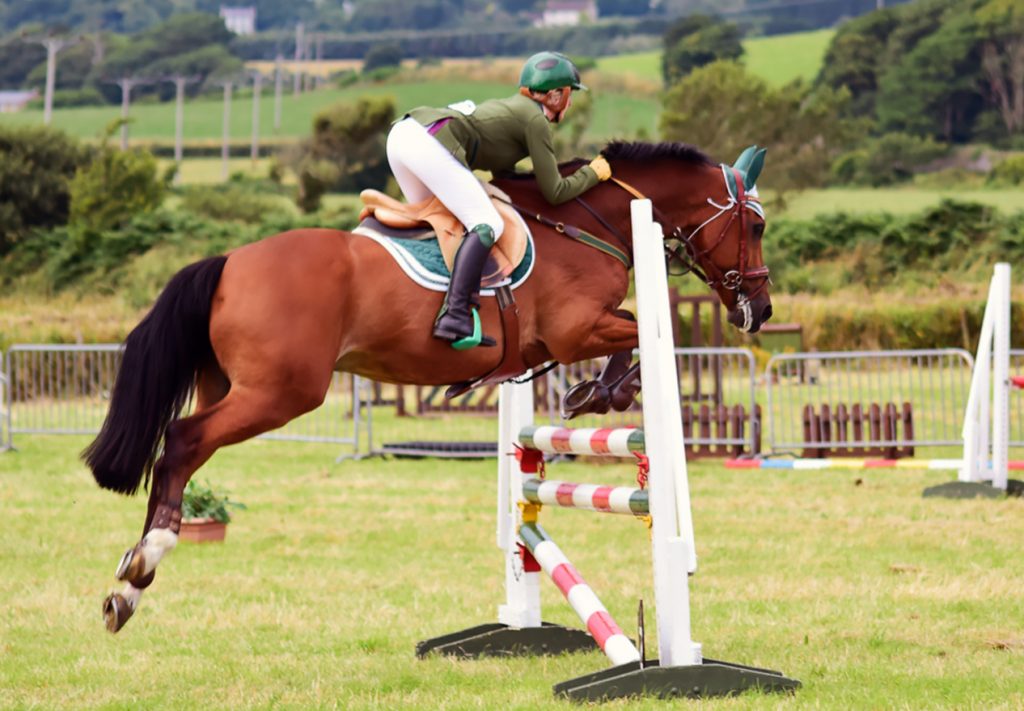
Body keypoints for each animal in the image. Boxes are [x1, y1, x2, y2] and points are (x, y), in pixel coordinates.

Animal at [88, 140, 770, 635]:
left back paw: (127, 585)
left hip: (231, 386)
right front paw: (605, 394)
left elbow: (633, 337)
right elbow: (642, 336)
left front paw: (593, 394)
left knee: (185, 452)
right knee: (182, 441)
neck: (585, 219)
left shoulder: (570, 336)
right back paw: (143, 565)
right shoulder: (576, 330)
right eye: (757, 225)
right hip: (278, 394)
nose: (759, 311)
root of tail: (229, 261)